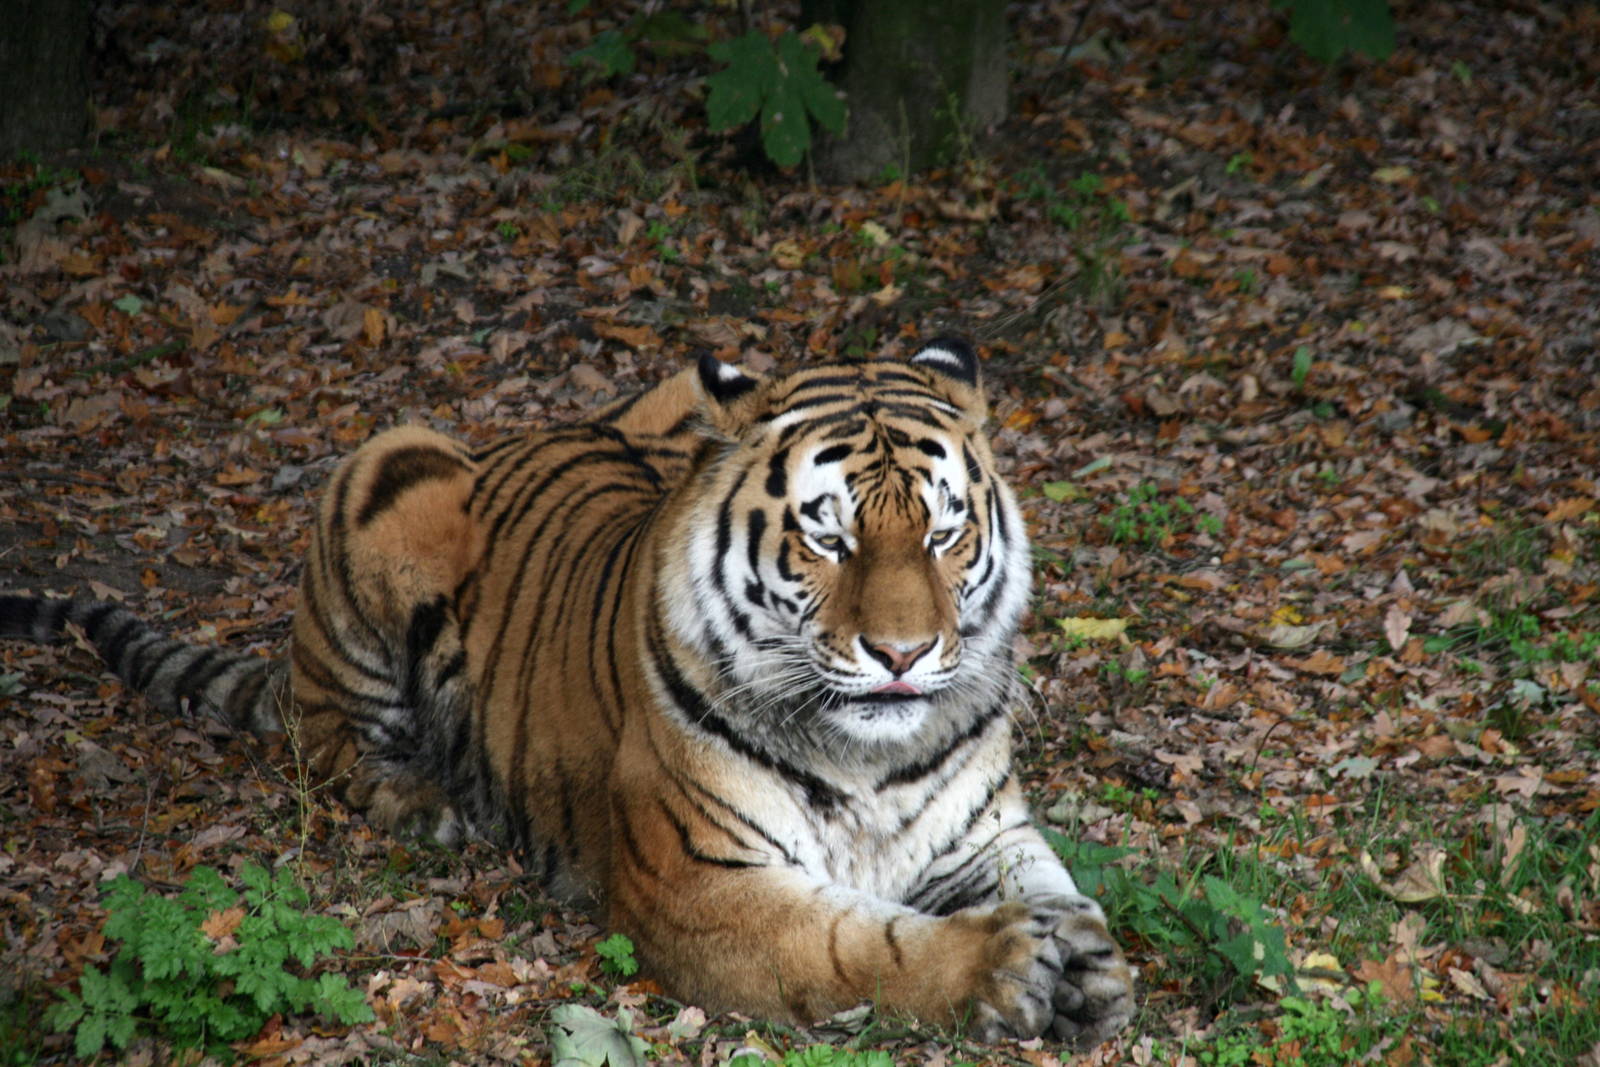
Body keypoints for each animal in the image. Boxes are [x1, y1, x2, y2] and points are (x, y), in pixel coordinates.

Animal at [1, 338, 1134, 1045]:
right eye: (830, 536)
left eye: (943, 531)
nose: (902, 653)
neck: (872, 750)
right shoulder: (700, 881)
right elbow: (855, 941)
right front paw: (999, 968)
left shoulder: (982, 830)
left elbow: (1054, 883)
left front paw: (1093, 964)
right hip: (385, 466)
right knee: (324, 742)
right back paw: (424, 800)